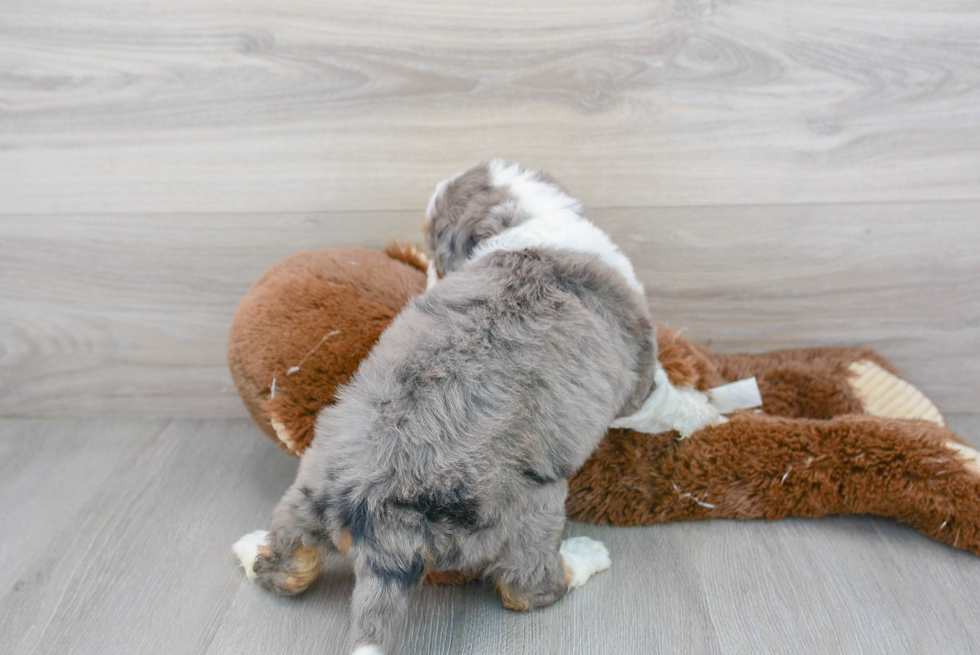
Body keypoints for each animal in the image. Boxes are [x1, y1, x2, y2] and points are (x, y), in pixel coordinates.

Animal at [234, 161, 700, 655]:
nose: (429, 275)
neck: (530, 224)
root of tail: (375, 513)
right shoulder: (642, 378)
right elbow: (668, 399)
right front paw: (705, 407)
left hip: (305, 498)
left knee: (286, 569)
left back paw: (251, 547)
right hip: (532, 512)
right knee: (527, 587)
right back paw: (582, 557)